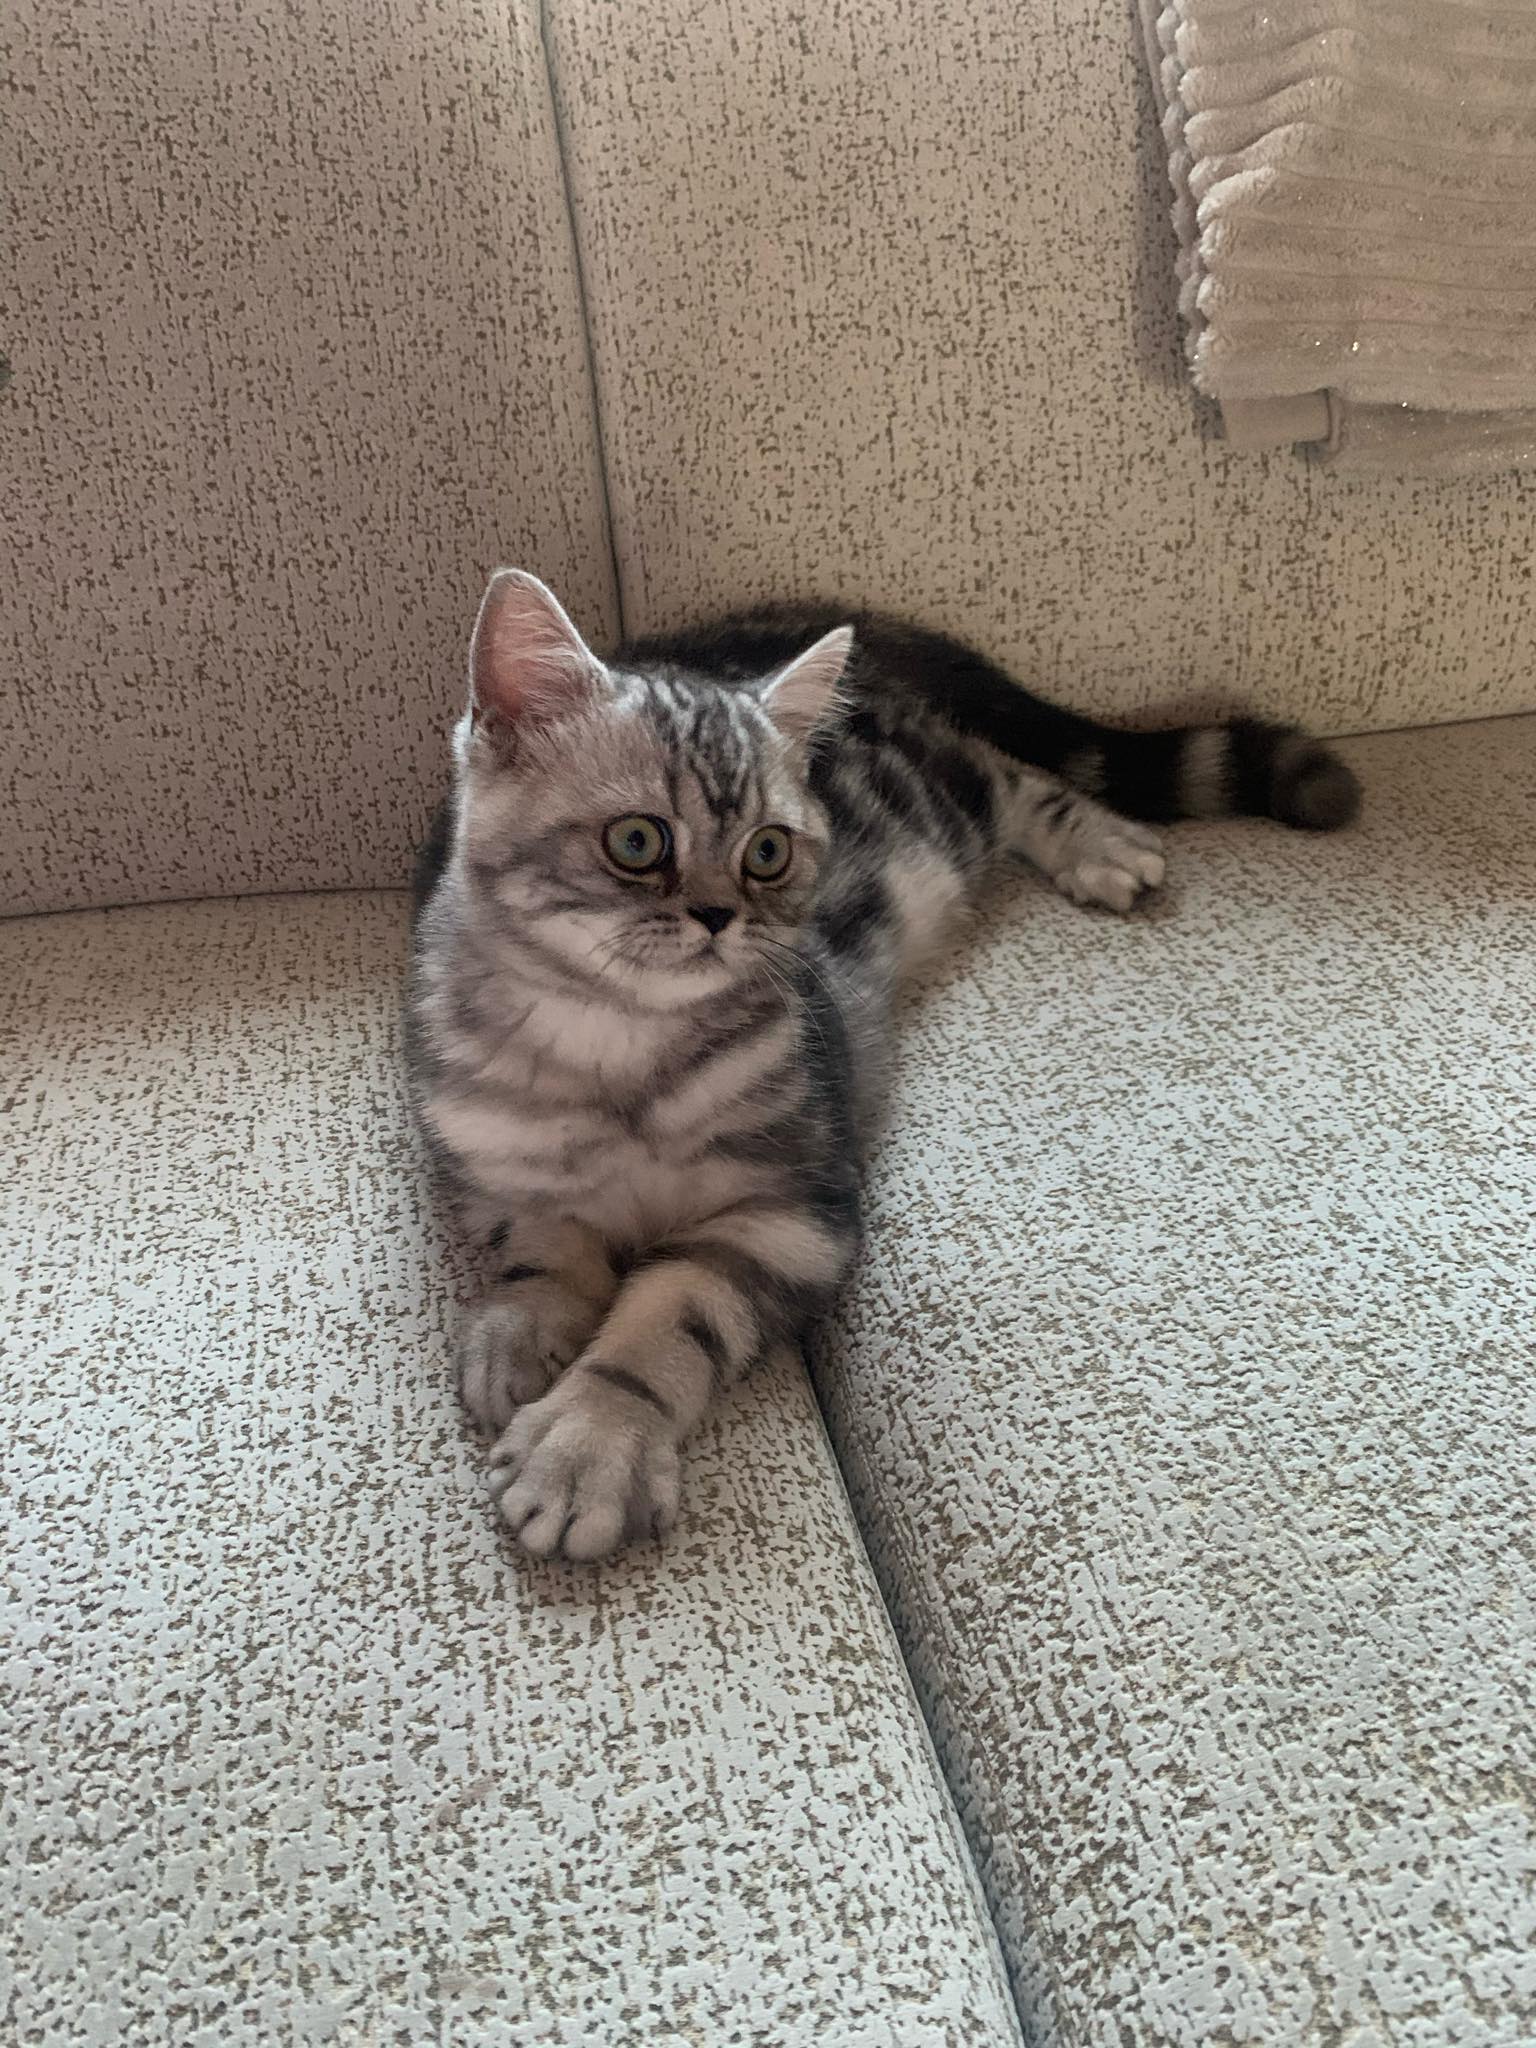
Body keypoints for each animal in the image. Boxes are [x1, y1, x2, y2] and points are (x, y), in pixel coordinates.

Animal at [408, 569, 1358, 1561]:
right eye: (637, 842)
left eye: (767, 853)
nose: (718, 916)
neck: (620, 1046)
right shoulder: (490, 1165)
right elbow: (542, 1246)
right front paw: (521, 1331)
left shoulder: (793, 1208)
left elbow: (669, 1319)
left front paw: (589, 1440)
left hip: (935, 814)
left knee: (1004, 772)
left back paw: (1100, 845)